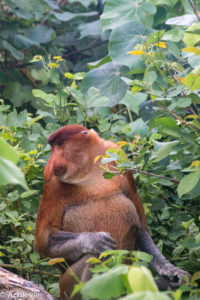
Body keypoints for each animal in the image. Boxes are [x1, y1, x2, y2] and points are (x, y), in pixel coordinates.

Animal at [34, 123, 191, 298]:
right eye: (53, 147)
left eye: (60, 145)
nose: (49, 165)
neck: (89, 170)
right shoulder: (53, 184)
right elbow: (44, 239)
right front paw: (92, 240)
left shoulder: (117, 153)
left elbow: (141, 226)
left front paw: (171, 270)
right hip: (67, 284)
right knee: (97, 256)